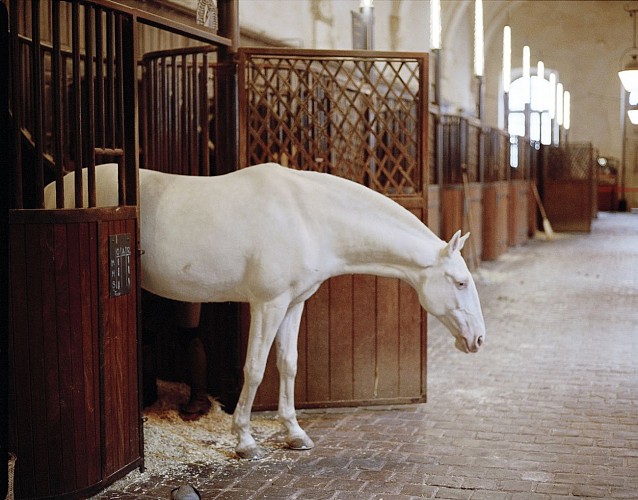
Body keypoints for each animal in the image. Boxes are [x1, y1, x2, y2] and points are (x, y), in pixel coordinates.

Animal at [43, 162, 484, 458]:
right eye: (461, 282)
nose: (478, 339)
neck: (307, 217)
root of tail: (54, 188)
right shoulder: (267, 304)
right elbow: (254, 370)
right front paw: (245, 440)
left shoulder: (293, 304)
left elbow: (287, 364)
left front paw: (295, 434)